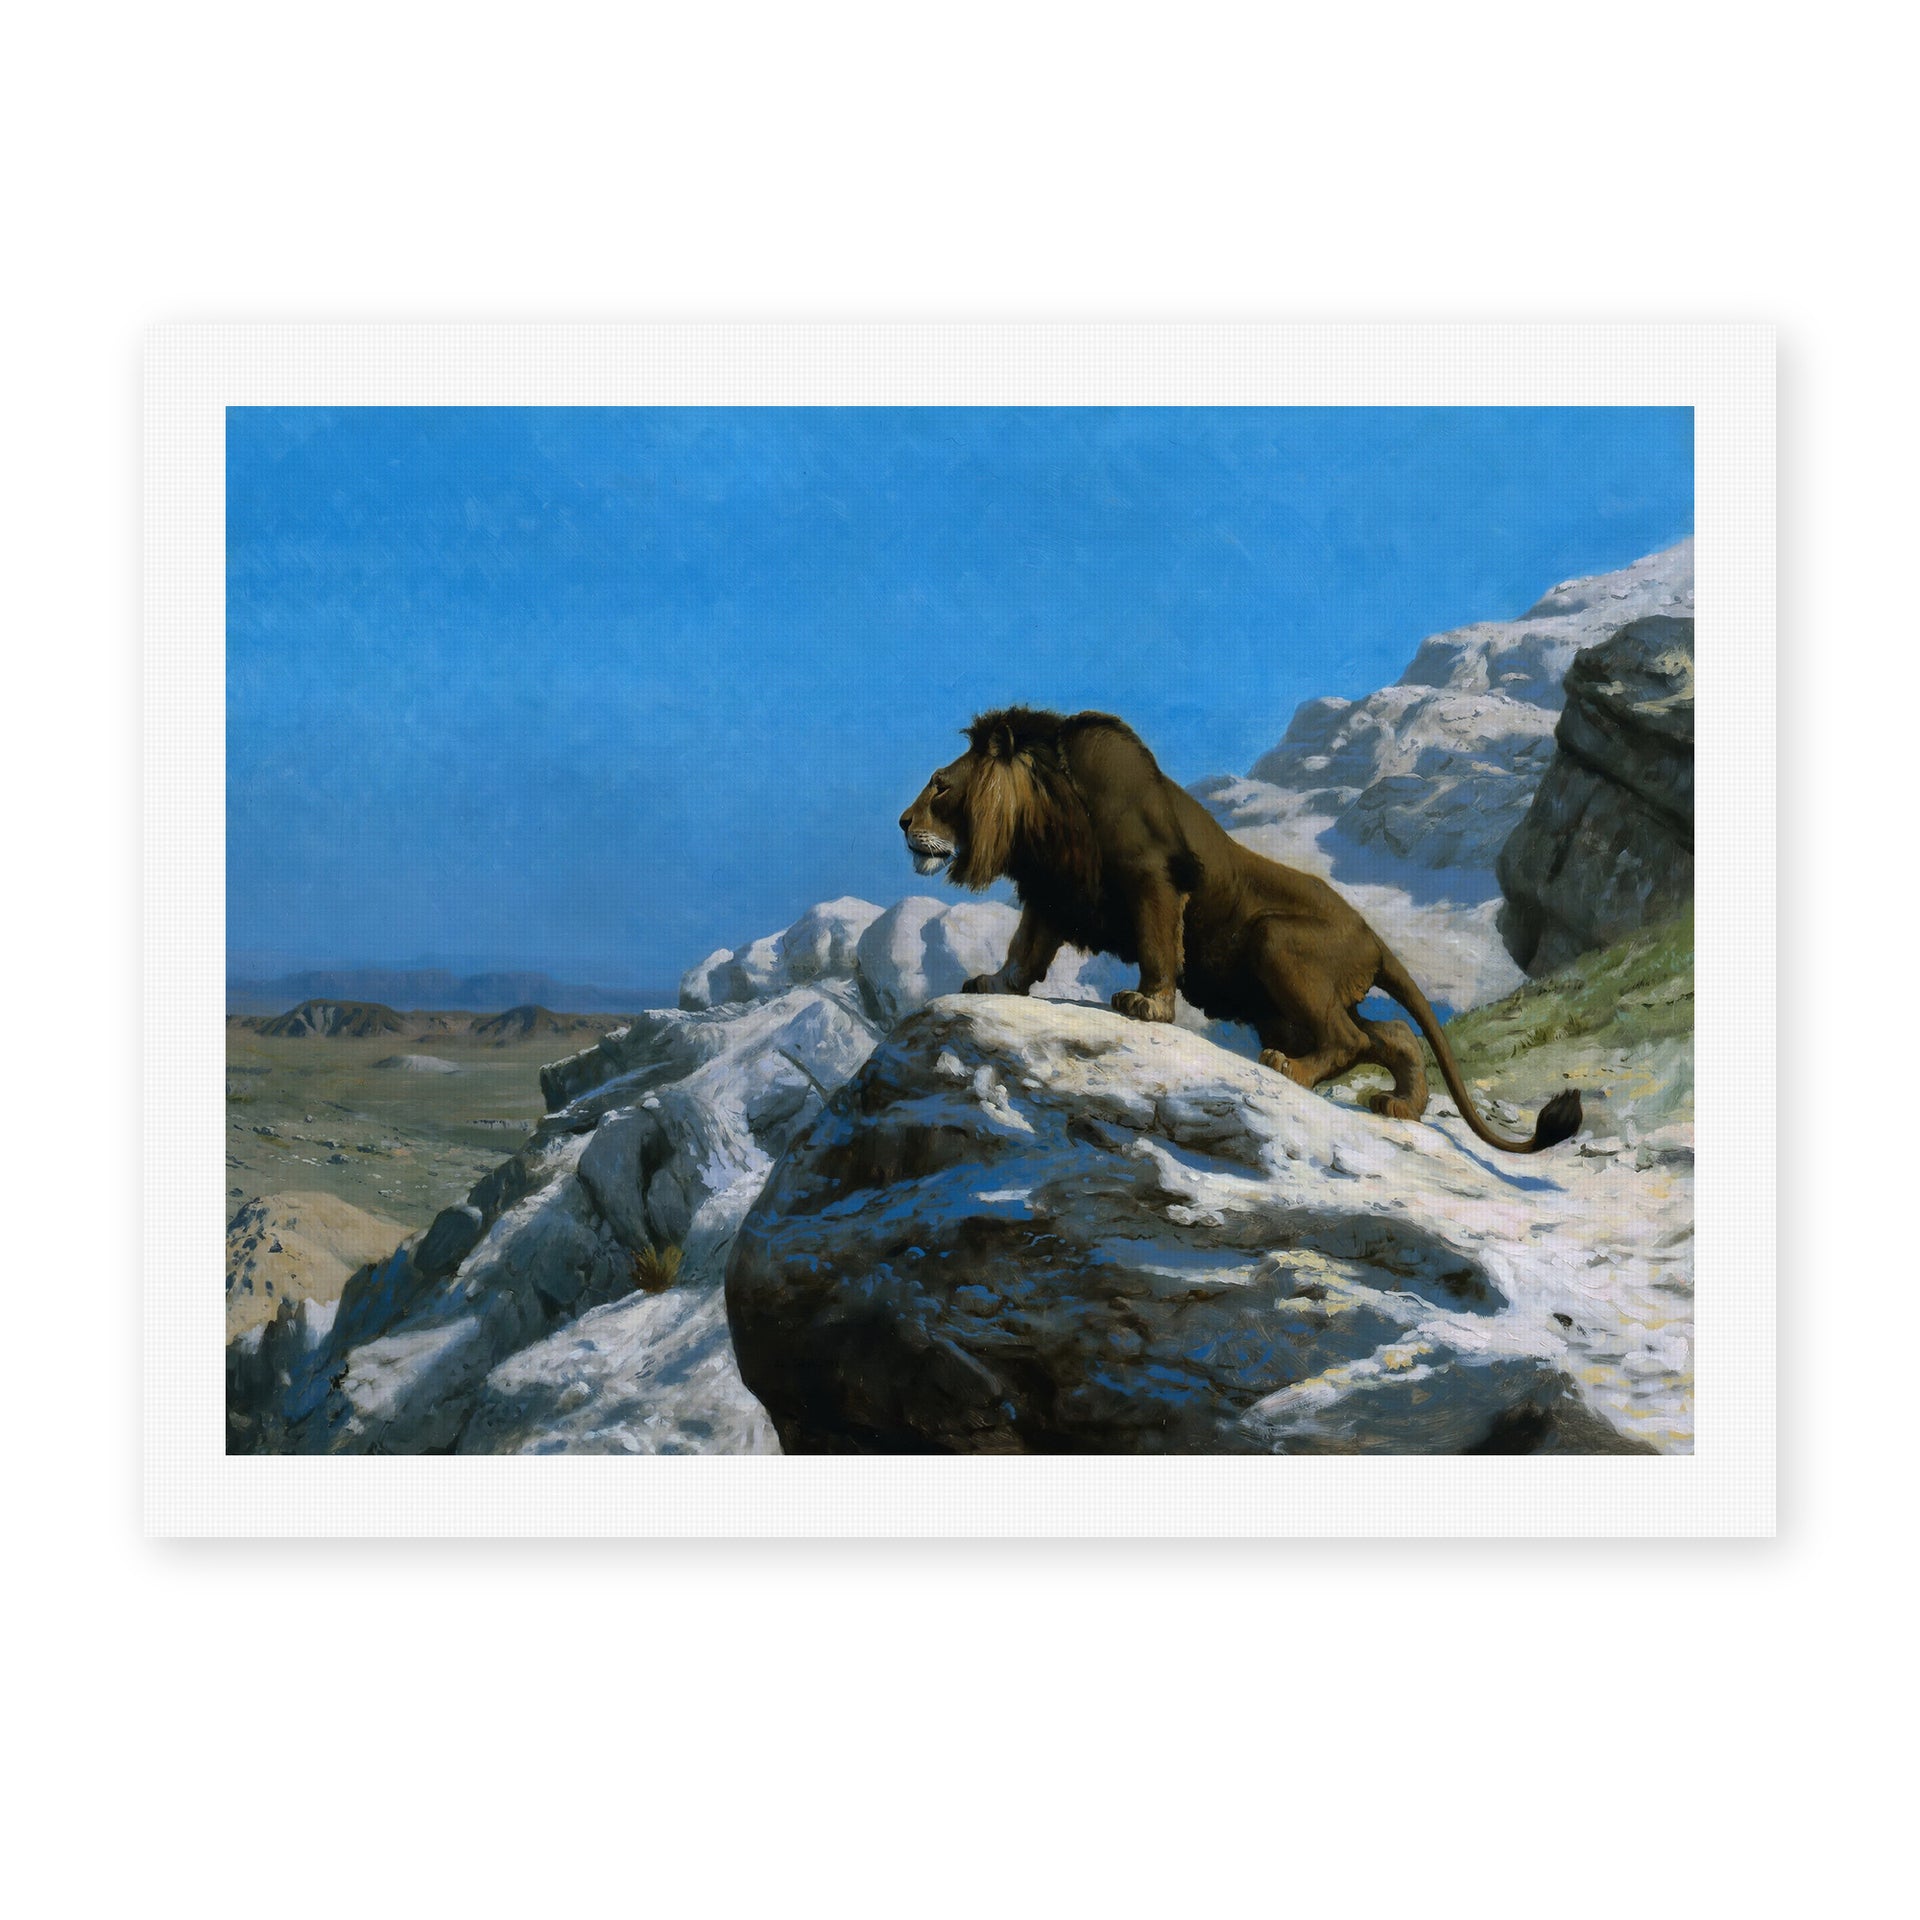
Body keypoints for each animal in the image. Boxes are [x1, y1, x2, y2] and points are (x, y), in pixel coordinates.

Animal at [898, 706, 1581, 1155]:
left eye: (940, 786)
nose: (903, 822)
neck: (1045, 815)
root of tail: (1375, 937)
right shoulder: (1053, 890)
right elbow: (1025, 949)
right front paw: (993, 984)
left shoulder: (1152, 877)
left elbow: (1157, 945)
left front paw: (1147, 1005)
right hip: (1286, 1000)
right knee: (1391, 1036)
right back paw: (1400, 1107)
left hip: (1273, 942)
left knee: (1349, 1039)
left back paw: (1289, 1071)